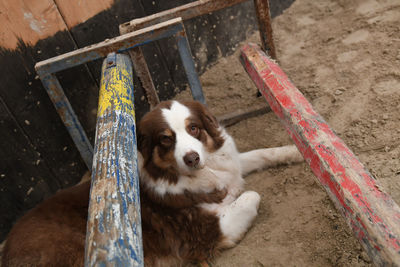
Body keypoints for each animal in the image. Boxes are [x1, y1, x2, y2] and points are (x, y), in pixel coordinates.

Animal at [0, 99, 304, 266]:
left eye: (194, 128)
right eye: (166, 140)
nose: (192, 158)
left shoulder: (229, 167)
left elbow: (259, 155)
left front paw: (297, 150)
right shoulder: (202, 231)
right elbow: (252, 196)